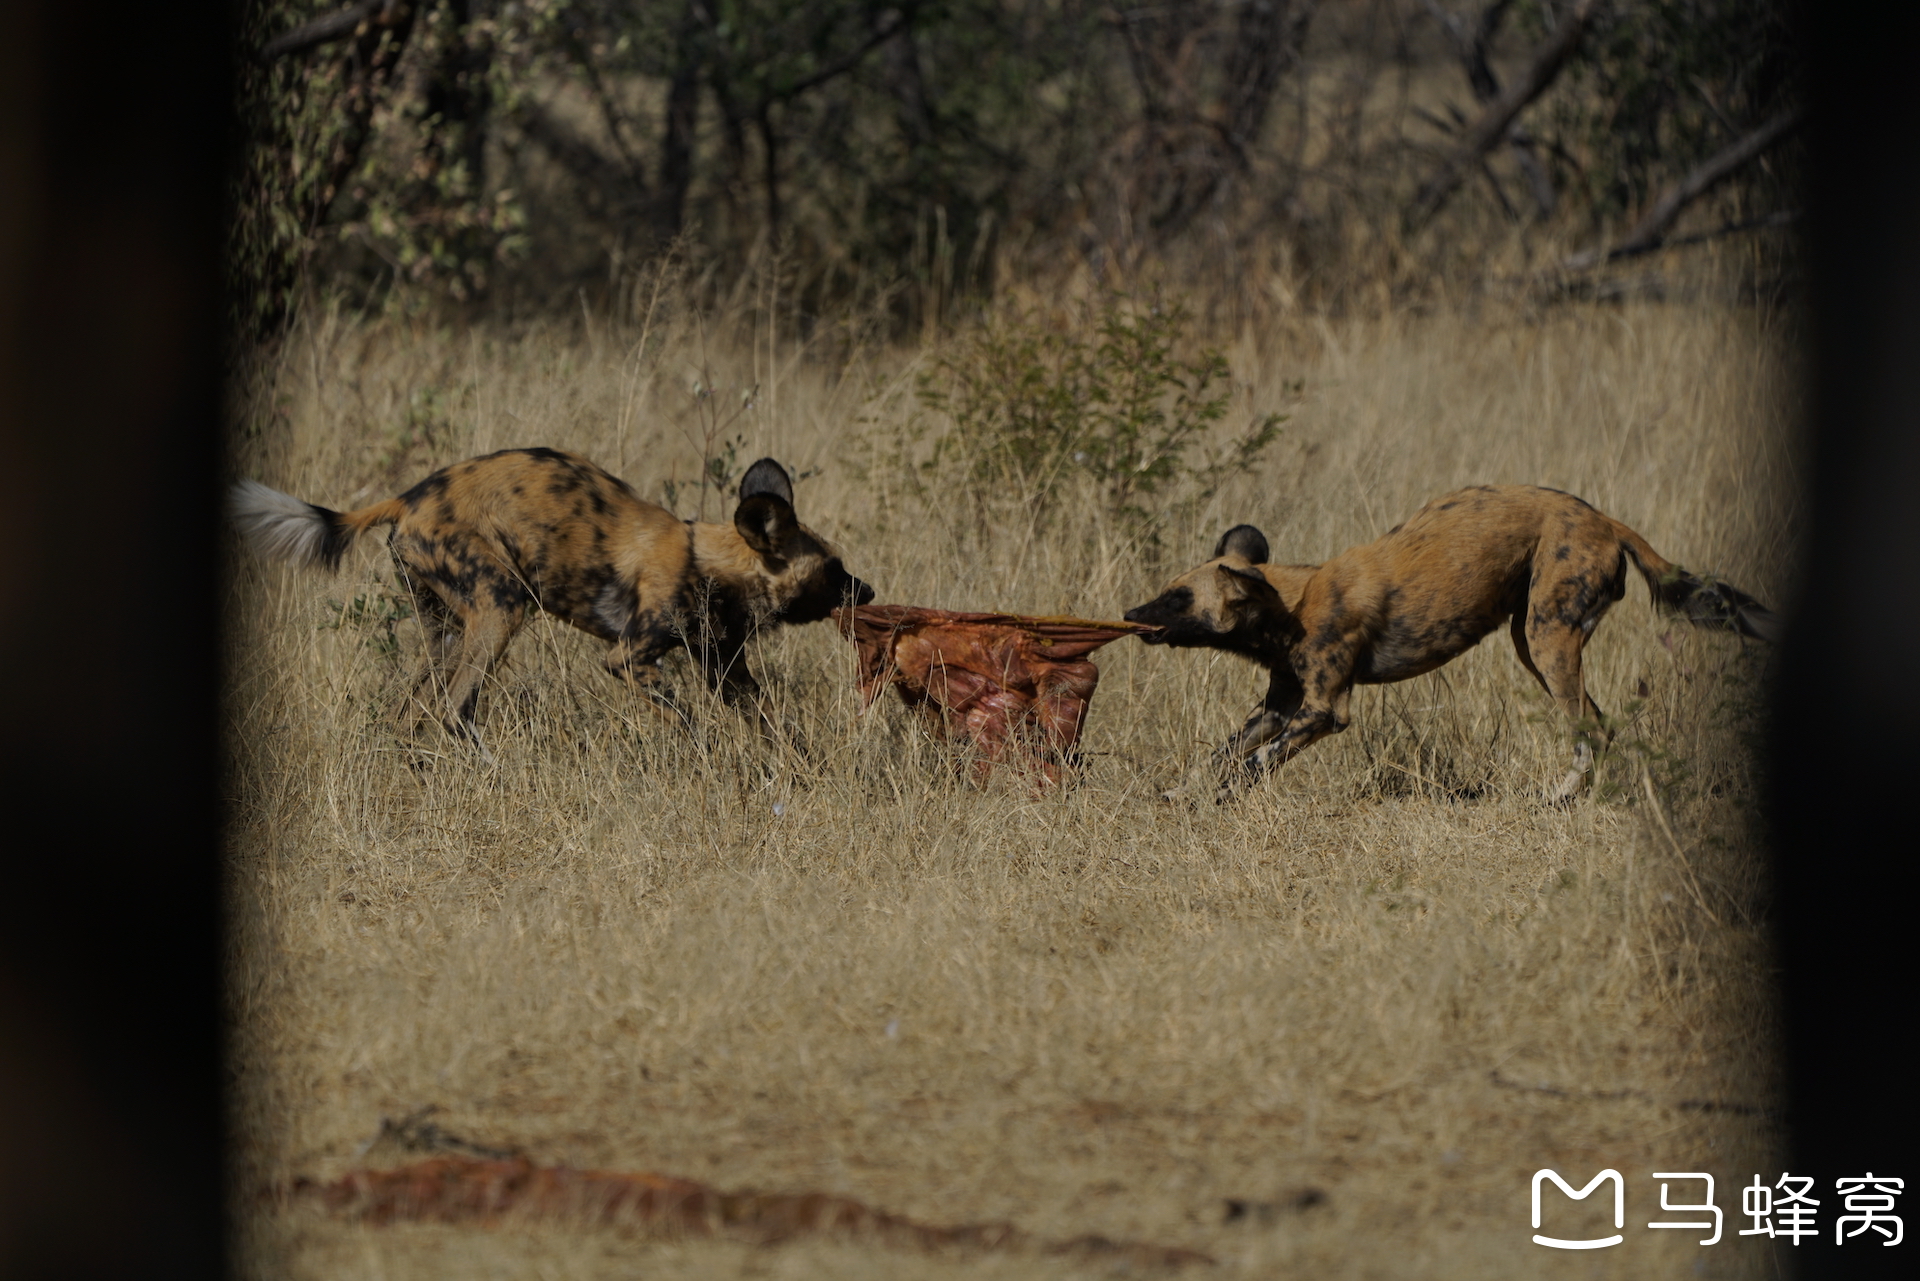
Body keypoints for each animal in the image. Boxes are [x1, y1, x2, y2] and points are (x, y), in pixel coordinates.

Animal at [230, 449, 879, 752]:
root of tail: (406, 497)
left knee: (412, 713)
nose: (869, 589)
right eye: (834, 570)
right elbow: (692, 725)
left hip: (446, 632)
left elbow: (774, 726)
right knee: (455, 711)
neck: (709, 561)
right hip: (502, 606)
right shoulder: (630, 659)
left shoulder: (725, 668)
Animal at [1121, 485, 1774, 806]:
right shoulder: (1281, 705)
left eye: (1176, 598)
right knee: (1598, 723)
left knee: (1590, 726)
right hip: (1530, 641)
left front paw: (1216, 802)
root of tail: (1608, 521)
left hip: (1547, 640)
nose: (1129, 613)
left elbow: (1253, 764)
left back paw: (1557, 800)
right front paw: (1181, 792)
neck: (1293, 605)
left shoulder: (1323, 711)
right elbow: (1224, 753)